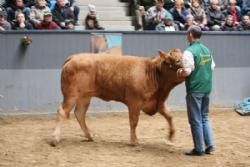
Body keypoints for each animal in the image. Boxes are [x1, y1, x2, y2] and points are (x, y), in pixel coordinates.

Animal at [51, 48, 184, 146]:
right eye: (177, 61)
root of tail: (74, 57)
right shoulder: (134, 102)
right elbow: (134, 121)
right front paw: (134, 141)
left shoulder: (158, 102)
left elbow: (170, 116)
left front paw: (171, 136)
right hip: (71, 94)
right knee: (62, 111)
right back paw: (55, 139)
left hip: (85, 96)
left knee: (80, 113)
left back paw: (90, 136)